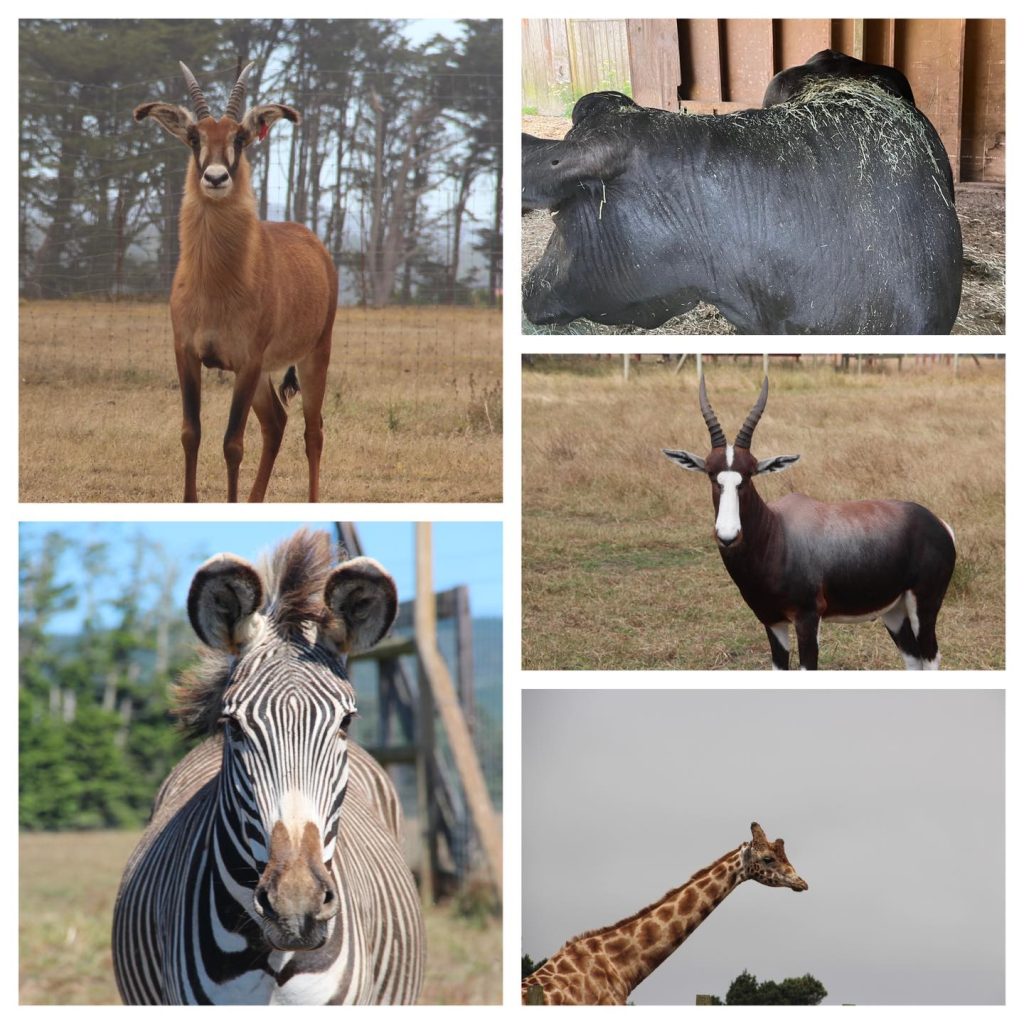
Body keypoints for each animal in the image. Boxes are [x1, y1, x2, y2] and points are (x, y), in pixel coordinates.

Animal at [133, 61, 335, 501]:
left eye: (239, 137)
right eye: (195, 137)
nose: (215, 178)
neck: (217, 283)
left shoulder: (247, 362)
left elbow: (232, 443)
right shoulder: (187, 354)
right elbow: (191, 434)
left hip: (315, 354)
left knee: (313, 431)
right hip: (264, 377)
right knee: (276, 423)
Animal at [659, 376, 954, 671]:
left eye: (750, 473)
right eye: (711, 473)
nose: (728, 535)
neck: (777, 532)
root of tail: (938, 523)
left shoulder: (808, 618)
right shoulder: (772, 621)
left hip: (924, 605)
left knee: (931, 657)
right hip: (893, 610)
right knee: (913, 658)